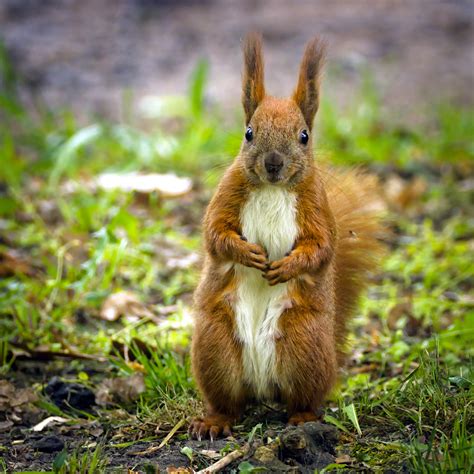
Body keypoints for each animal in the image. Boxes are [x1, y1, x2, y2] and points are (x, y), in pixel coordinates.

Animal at [187, 33, 384, 440]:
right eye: (248, 133)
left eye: (304, 136)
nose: (274, 163)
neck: (272, 188)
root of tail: (263, 390)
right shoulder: (225, 198)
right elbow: (215, 233)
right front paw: (246, 254)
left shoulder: (317, 209)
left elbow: (322, 248)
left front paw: (287, 267)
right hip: (215, 347)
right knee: (228, 402)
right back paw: (214, 421)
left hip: (302, 345)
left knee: (303, 398)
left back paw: (303, 418)